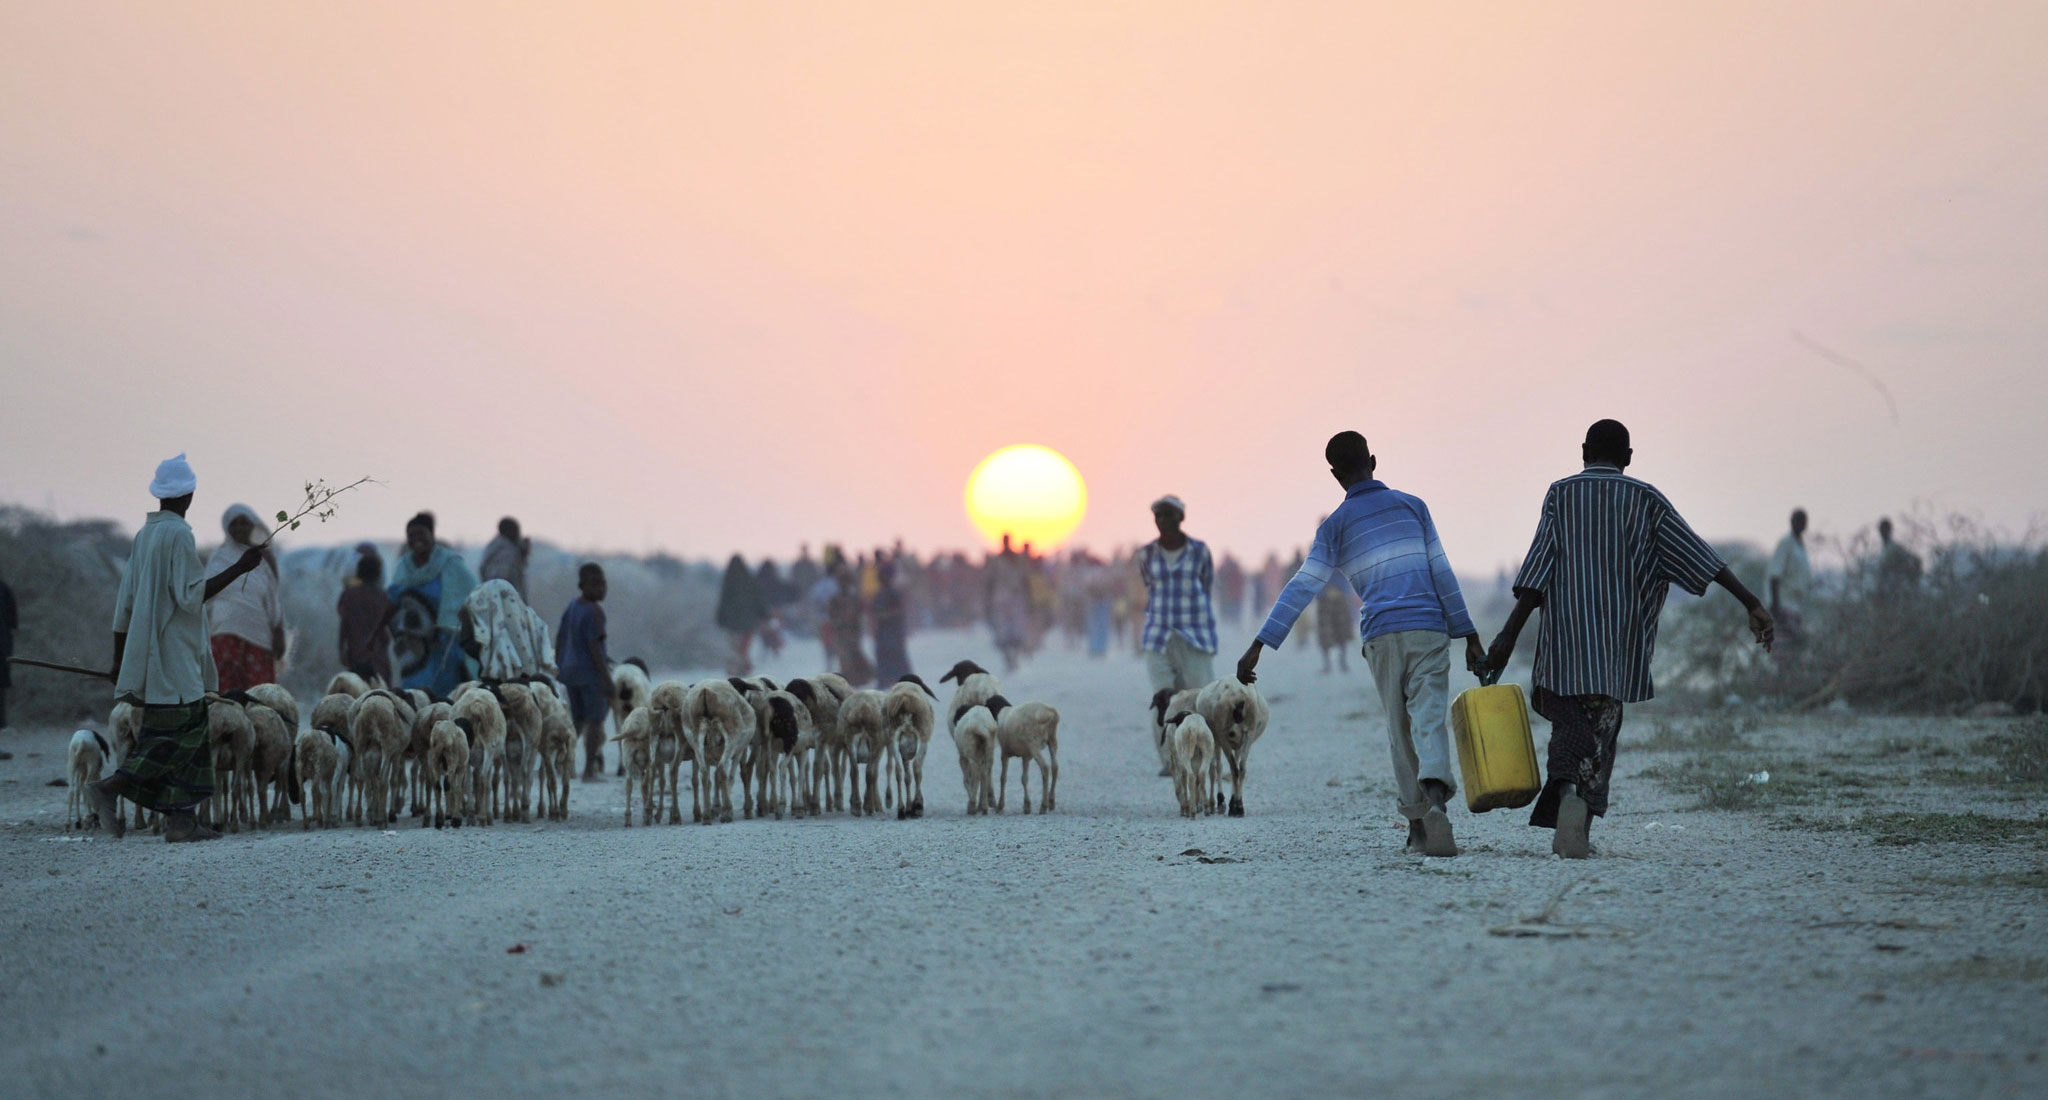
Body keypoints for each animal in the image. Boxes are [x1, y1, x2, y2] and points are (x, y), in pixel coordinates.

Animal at [684, 675, 757, 823]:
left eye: (741, 687)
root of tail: (706, 693)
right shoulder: (739, 752)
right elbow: (734, 776)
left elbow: (716, 777)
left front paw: (716, 807)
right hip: (731, 735)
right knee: (723, 770)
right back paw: (727, 812)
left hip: (697, 737)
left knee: (705, 773)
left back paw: (706, 816)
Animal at [884, 671, 937, 819]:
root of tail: (904, 699)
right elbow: (916, 771)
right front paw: (915, 806)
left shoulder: (904, 751)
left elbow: (907, 777)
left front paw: (908, 807)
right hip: (921, 736)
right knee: (917, 767)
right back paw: (917, 806)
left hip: (894, 738)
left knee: (899, 771)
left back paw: (901, 809)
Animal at [1196, 671, 1269, 811]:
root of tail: (1238, 693)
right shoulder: (1238, 742)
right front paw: (1231, 800)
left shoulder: (1218, 740)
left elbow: (1216, 768)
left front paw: (1221, 801)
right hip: (1247, 735)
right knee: (1241, 768)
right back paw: (1238, 805)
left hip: (1223, 736)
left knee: (1232, 768)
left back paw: (1233, 806)